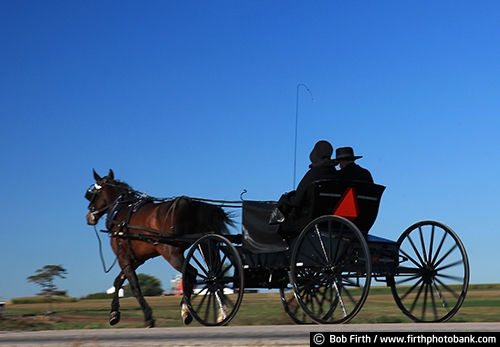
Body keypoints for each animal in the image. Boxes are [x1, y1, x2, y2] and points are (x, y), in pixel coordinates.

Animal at [85, 170, 233, 328]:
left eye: (91, 193)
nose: (89, 217)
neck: (121, 211)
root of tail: (191, 204)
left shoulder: (123, 257)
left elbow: (134, 285)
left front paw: (148, 317)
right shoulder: (136, 259)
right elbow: (118, 281)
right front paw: (114, 313)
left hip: (171, 253)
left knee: (191, 273)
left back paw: (186, 310)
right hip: (204, 244)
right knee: (215, 276)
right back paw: (221, 314)